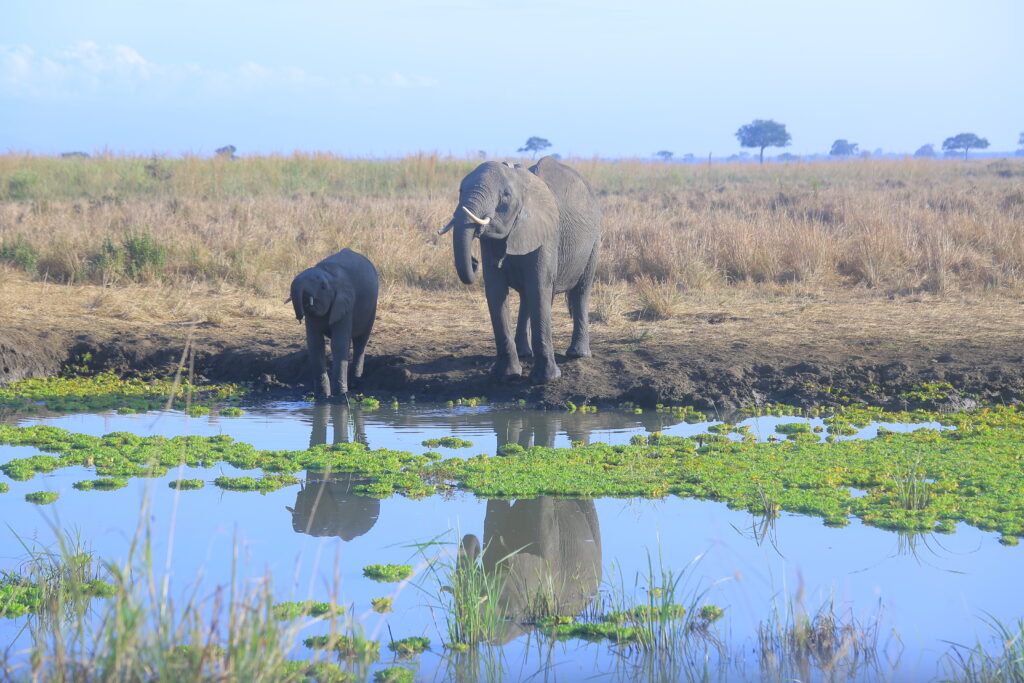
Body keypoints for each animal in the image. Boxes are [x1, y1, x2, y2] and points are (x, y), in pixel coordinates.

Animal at [290, 249, 378, 401]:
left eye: (323, 287)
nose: (299, 317)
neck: (329, 274)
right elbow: (315, 344)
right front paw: (322, 397)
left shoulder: (346, 304)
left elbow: (339, 343)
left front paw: (340, 396)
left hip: (372, 308)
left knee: (361, 341)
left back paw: (355, 382)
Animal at [440, 156, 598, 385]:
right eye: (460, 190)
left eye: (505, 196)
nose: (474, 261)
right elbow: (496, 293)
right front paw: (505, 375)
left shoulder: (547, 234)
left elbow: (539, 288)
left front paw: (546, 379)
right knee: (526, 297)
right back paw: (524, 353)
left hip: (595, 239)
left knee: (580, 292)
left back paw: (578, 354)